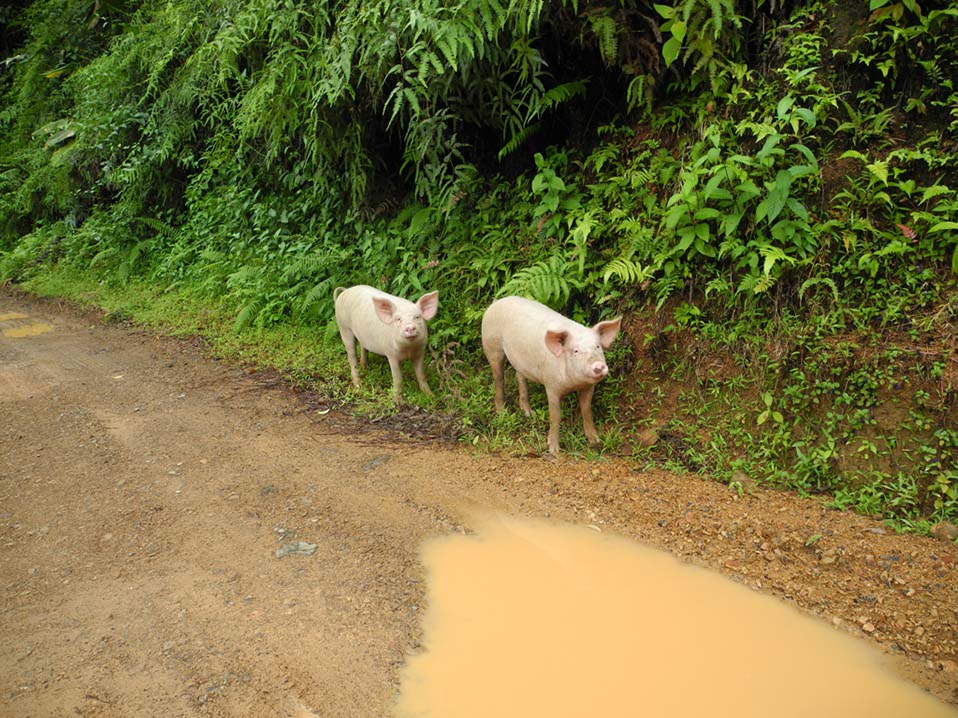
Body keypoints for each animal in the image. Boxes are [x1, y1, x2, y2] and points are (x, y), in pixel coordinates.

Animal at [480, 296, 624, 456]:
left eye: (597, 346)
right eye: (575, 351)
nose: (598, 365)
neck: (574, 384)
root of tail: (497, 302)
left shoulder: (588, 386)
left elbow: (586, 409)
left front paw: (595, 441)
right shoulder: (551, 386)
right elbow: (556, 416)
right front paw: (554, 451)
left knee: (519, 376)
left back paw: (528, 413)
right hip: (491, 345)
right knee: (499, 378)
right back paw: (502, 413)